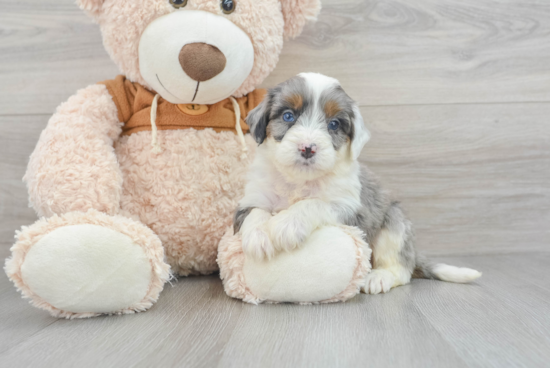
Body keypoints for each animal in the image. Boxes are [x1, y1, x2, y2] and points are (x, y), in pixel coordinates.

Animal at [234, 73, 484, 294]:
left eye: (334, 124)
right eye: (288, 116)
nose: (307, 148)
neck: (300, 181)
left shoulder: (351, 210)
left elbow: (314, 203)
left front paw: (287, 224)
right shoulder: (252, 197)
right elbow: (256, 211)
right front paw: (258, 236)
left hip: (395, 224)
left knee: (402, 270)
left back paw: (379, 277)